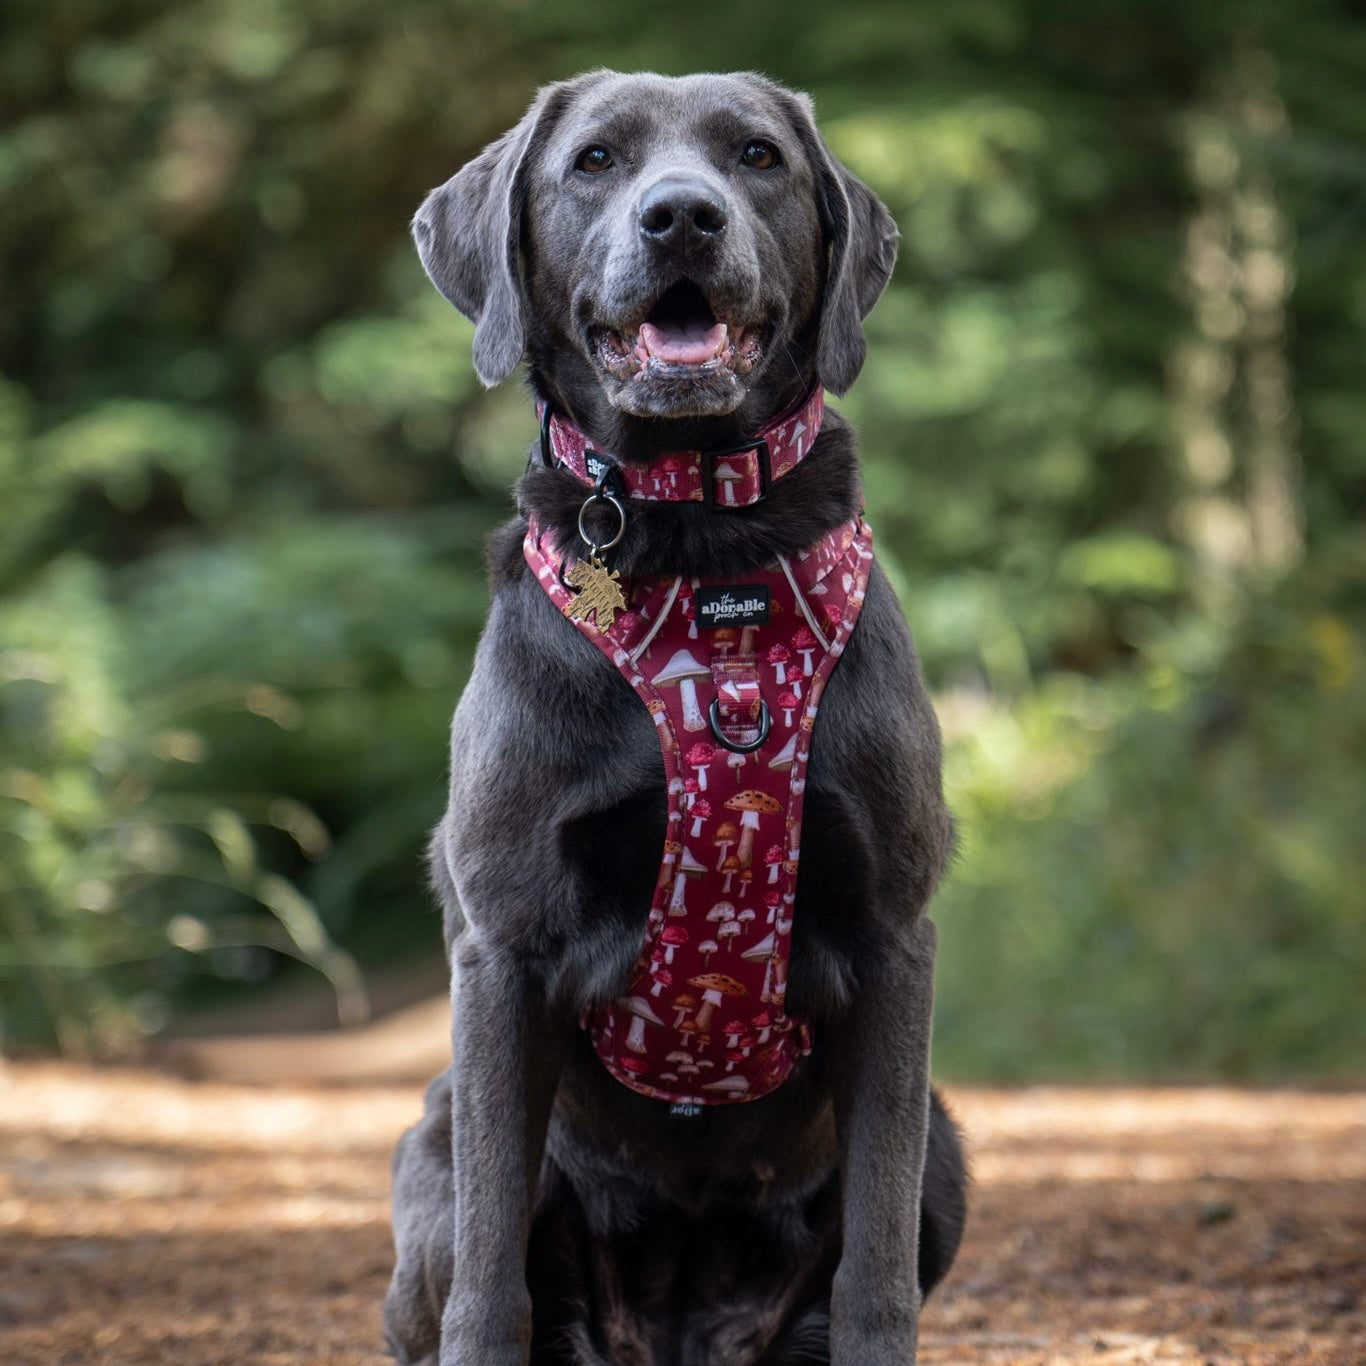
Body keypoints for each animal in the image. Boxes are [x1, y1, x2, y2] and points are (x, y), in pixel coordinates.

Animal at [379, 69, 967, 1360]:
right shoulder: (501, 951)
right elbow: (492, 1275)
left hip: (949, 1148)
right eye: (595, 161)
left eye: (756, 157)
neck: (703, 547)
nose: (683, 218)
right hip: (431, 1143)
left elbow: (876, 1265)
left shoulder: (895, 942)